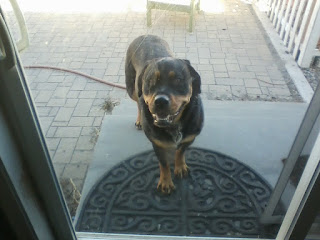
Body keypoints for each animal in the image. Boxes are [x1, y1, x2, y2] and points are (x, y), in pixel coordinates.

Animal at [124, 35, 202, 193]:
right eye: (150, 81)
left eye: (178, 80)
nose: (160, 101)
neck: (174, 125)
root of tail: (145, 35)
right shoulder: (157, 144)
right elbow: (164, 163)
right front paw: (166, 182)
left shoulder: (189, 137)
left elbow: (180, 151)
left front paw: (180, 166)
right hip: (131, 88)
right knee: (137, 100)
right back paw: (139, 119)